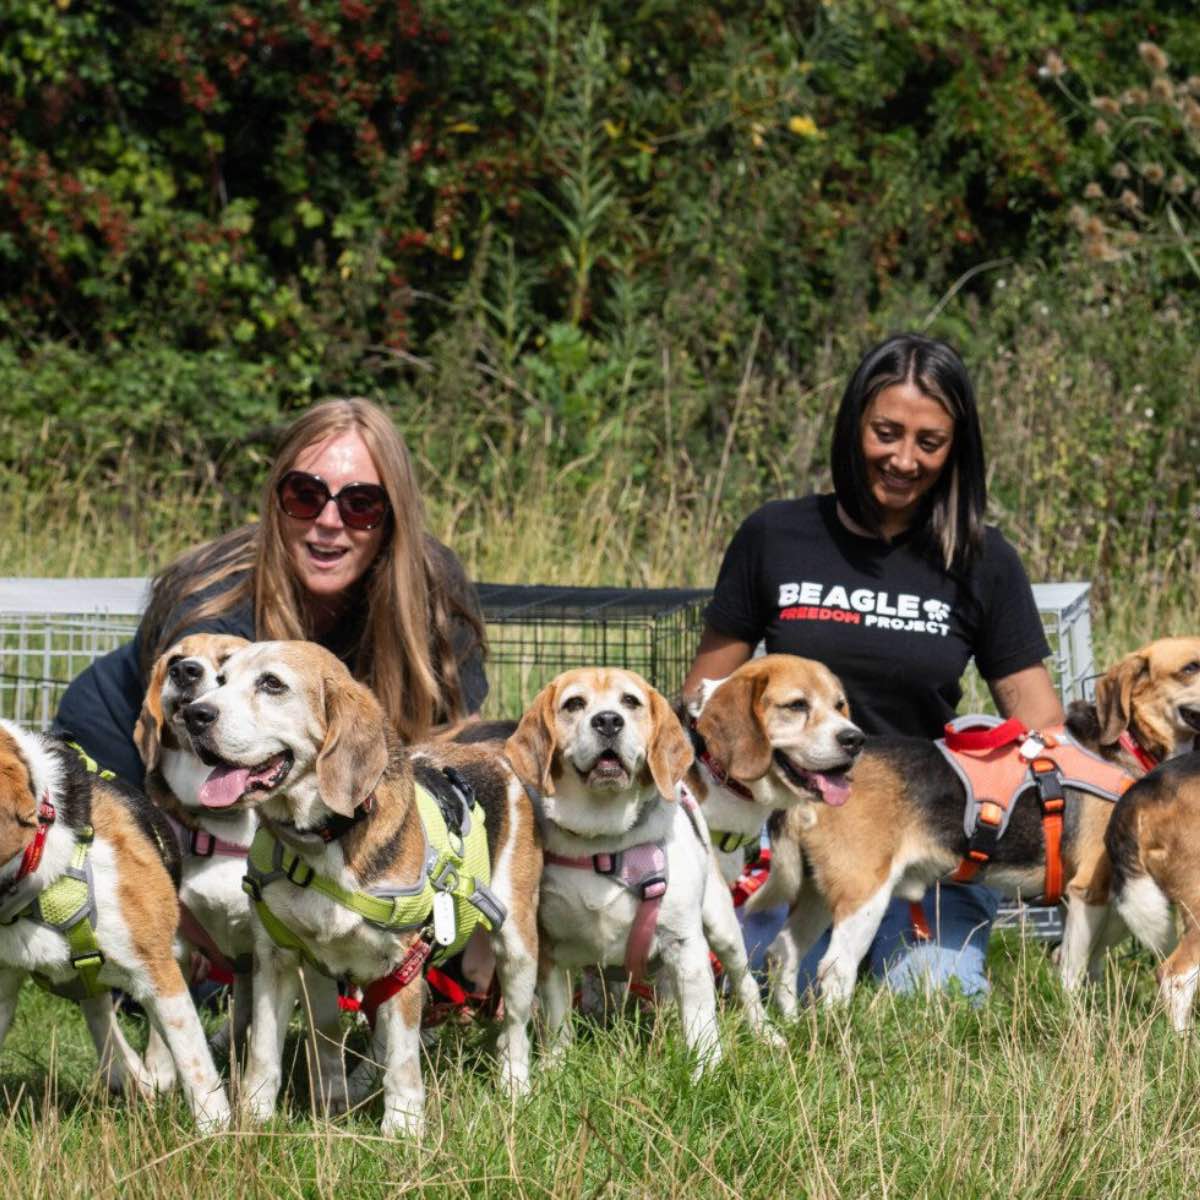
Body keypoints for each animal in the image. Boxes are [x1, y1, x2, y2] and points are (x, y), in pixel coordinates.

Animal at [177, 638, 540, 1132]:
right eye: (221, 679)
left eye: (272, 684)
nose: (194, 714)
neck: (324, 838)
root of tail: (492, 753)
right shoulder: (278, 959)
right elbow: (266, 1054)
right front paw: (254, 1119)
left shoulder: (404, 962)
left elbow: (404, 1060)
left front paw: (403, 1126)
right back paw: (353, 1085)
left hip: (517, 945)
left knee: (514, 1029)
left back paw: (514, 1085)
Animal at [506, 672, 777, 1075]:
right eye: (574, 704)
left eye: (630, 701)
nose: (607, 721)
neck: (604, 841)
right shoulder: (549, 950)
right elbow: (557, 1021)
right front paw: (556, 1066)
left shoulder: (685, 944)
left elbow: (701, 1021)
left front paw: (706, 1071)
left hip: (722, 928)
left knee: (744, 982)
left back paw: (766, 1033)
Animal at [753, 638, 1200, 1012]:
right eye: (1191, 666)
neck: (1125, 746)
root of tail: (812, 781)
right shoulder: (1088, 889)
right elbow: (1073, 972)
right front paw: (1077, 1021)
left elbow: (1087, 966)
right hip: (864, 894)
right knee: (834, 970)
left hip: (816, 891)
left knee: (782, 953)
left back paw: (792, 1024)